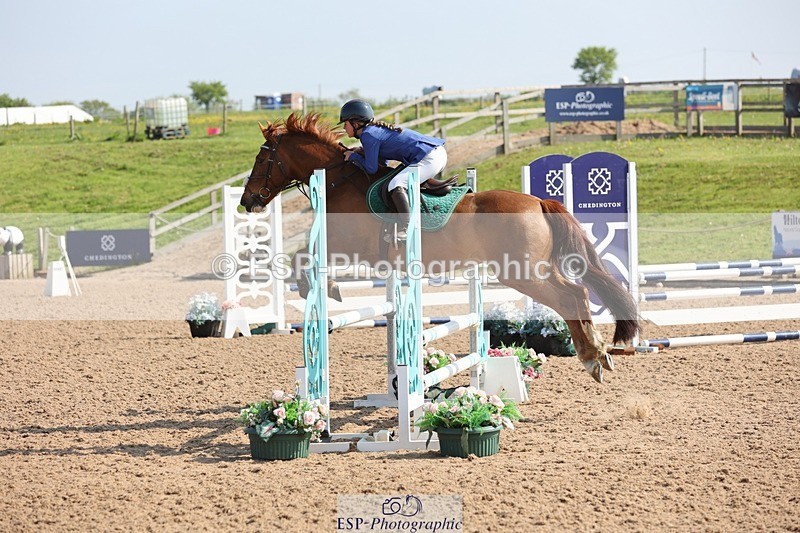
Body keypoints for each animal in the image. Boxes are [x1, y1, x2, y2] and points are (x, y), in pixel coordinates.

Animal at [240, 113, 639, 383]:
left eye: (261, 159)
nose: (247, 201)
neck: (338, 180)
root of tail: (540, 201)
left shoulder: (347, 245)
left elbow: (301, 258)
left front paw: (325, 288)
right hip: (533, 268)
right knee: (579, 293)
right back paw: (599, 354)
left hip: (522, 272)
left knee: (571, 296)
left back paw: (593, 358)